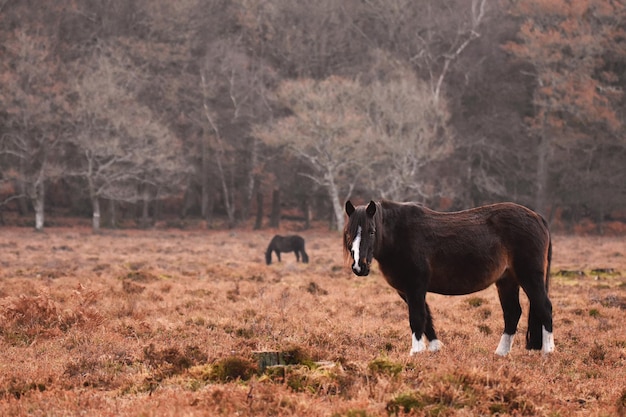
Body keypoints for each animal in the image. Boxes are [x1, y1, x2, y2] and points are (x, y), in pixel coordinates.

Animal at [344, 200, 552, 356]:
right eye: (349, 232)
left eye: (372, 231)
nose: (359, 266)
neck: (399, 237)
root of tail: (538, 217)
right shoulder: (406, 291)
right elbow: (427, 318)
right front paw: (435, 348)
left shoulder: (415, 287)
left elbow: (417, 318)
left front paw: (416, 352)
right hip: (507, 280)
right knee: (512, 313)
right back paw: (501, 353)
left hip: (529, 277)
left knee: (544, 307)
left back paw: (548, 351)